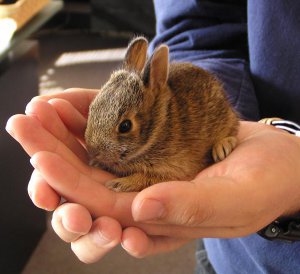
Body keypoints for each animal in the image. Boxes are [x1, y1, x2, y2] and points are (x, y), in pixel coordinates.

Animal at [84, 36, 239, 192]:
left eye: (125, 126)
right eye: (92, 108)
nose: (92, 151)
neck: (158, 130)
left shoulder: (171, 169)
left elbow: (144, 178)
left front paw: (119, 184)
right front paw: (97, 164)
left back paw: (222, 147)